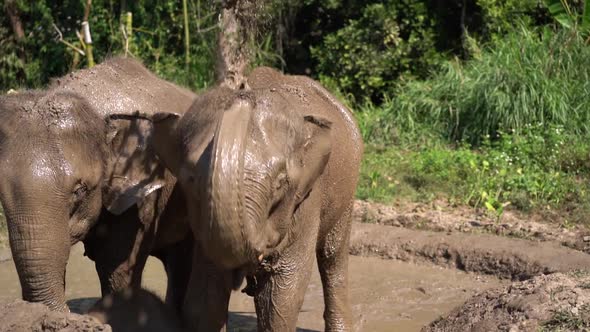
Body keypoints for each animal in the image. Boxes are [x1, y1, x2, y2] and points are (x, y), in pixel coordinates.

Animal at [123, 66, 366, 330]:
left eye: (281, 182)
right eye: (191, 178)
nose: (241, 93)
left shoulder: (306, 200)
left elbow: (282, 296)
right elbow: (206, 296)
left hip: (347, 186)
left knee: (333, 256)